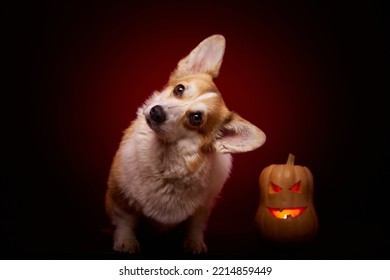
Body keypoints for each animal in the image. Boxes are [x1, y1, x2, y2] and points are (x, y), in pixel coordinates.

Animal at [105, 35, 266, 254]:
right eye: (179, 89)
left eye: (196, 118)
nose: (156, 111)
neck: (165, 163)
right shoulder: (120, 196)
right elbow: (125, 221)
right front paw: (125, 241)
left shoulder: (204, 207)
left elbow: (196, 224)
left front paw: (194, 243)